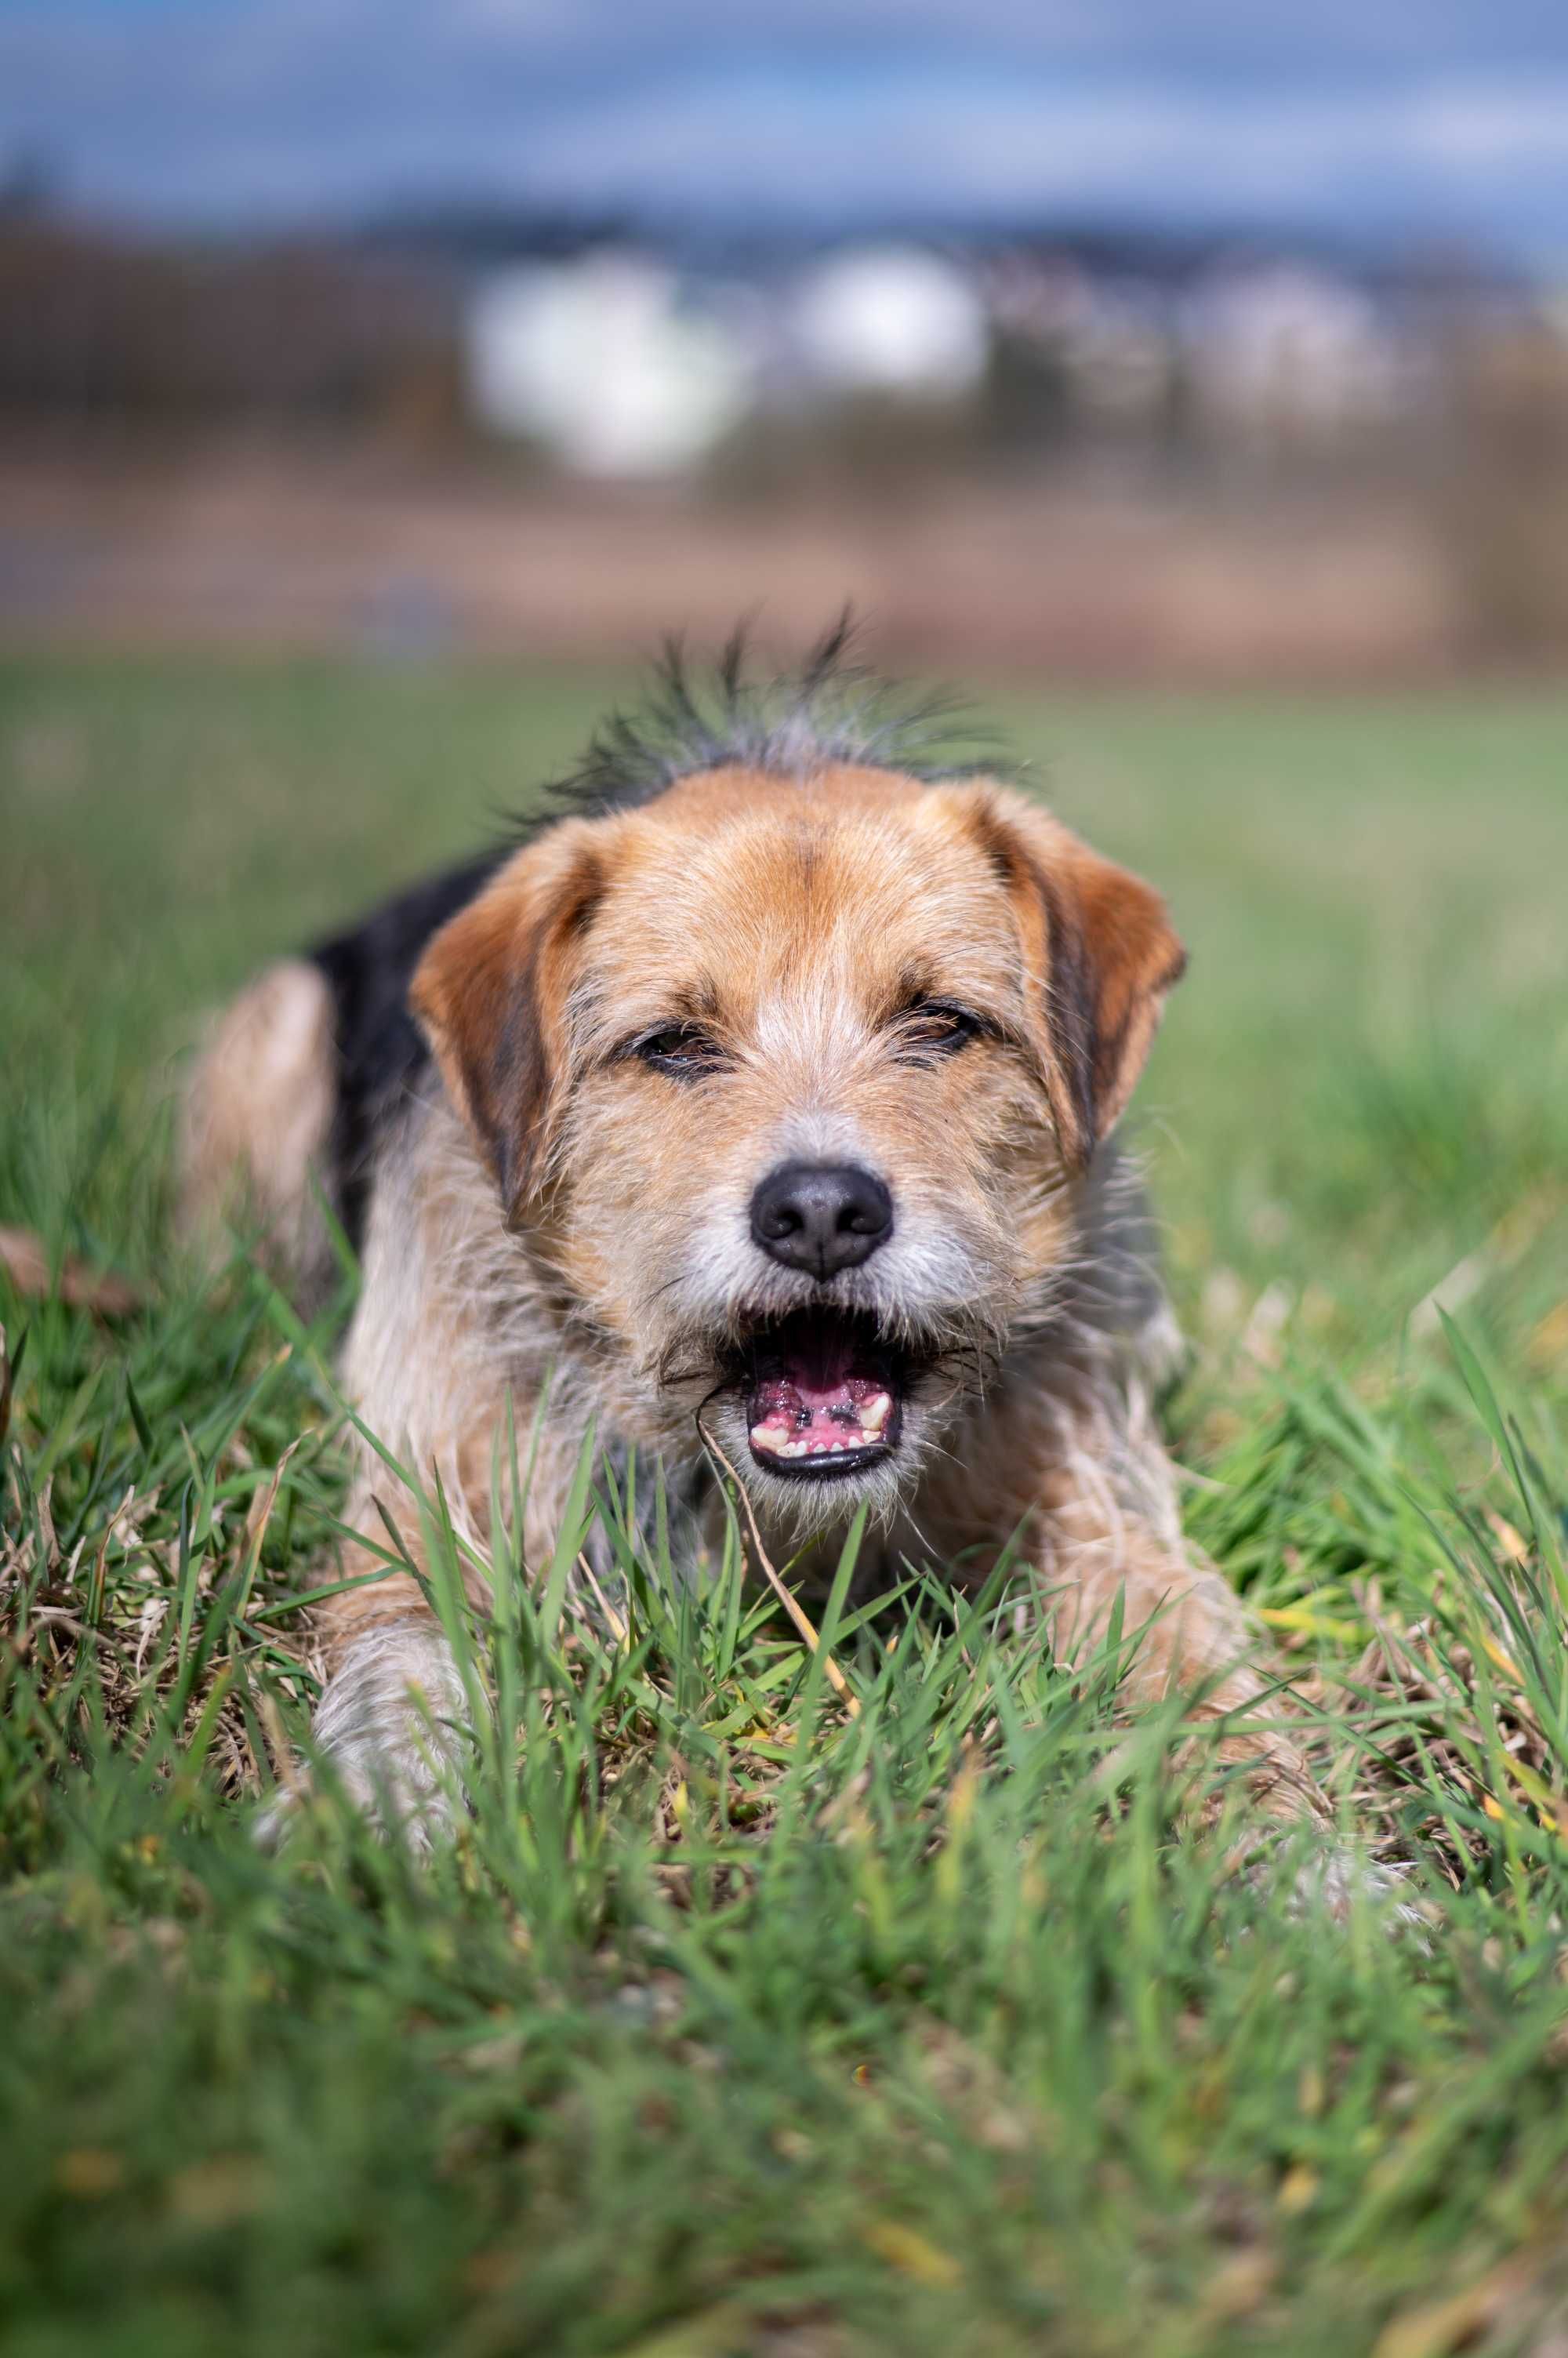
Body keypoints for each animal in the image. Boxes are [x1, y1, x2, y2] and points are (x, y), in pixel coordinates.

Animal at [180, 636, 1330, 1848]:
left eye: (941, 1022)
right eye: (675, 1044)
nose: (821, 1211)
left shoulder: (1099, 1516)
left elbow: (1206, 1683)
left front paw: (1310, 1862)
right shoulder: (425, 1516)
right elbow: (400, 1665)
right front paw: (367, 1812)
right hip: (270, 1039)